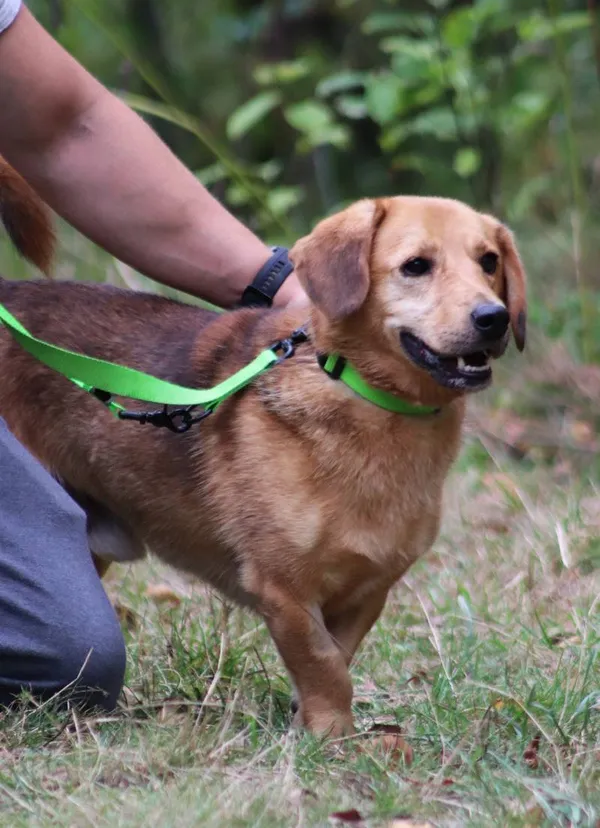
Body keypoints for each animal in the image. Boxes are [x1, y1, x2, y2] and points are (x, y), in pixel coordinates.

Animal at [0, 160, 524, 736]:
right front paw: (333, 739)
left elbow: (338, 661)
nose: (494, 317)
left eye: (489, 261)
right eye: (415, 266)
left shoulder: (367, 593)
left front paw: (313, 727)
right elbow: (324, 667)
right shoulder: (284, 590)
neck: (364, 398)